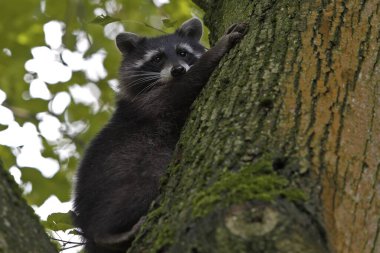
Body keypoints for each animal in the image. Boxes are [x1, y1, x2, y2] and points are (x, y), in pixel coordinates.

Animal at [72, 18, 248, 253]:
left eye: (182, 53)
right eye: (157, 58)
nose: (178, 70)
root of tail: (85, 222)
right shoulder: (149, 103)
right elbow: (183, 87)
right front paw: (217, 49)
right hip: (127, 178)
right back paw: (108, 235)